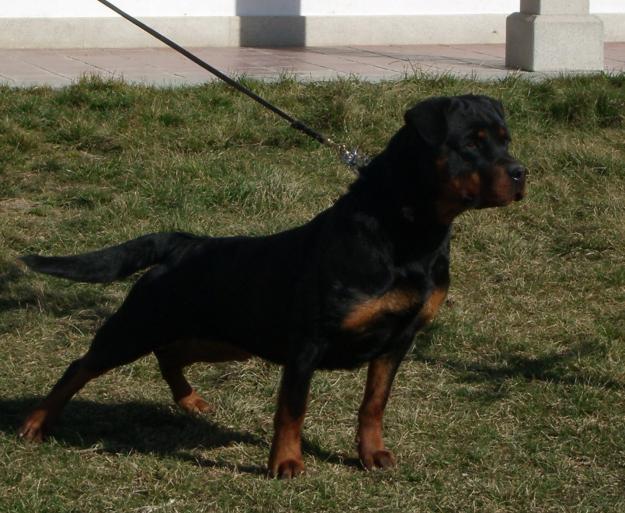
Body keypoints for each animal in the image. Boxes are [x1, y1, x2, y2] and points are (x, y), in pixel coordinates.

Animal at [18, 95, 520, 476]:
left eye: (506, 140)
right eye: (470, 144)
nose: (520, 173)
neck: (410, 232)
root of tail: (183, 243)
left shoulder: (399, 340)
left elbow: (374, 403)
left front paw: (371, 454)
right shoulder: (308, 343)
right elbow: (291, 409)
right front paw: (286, 463)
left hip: (224, 337)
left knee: (171, 353)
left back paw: (190, 400)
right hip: (138, 325)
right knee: (82, 365)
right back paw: (36, 424)